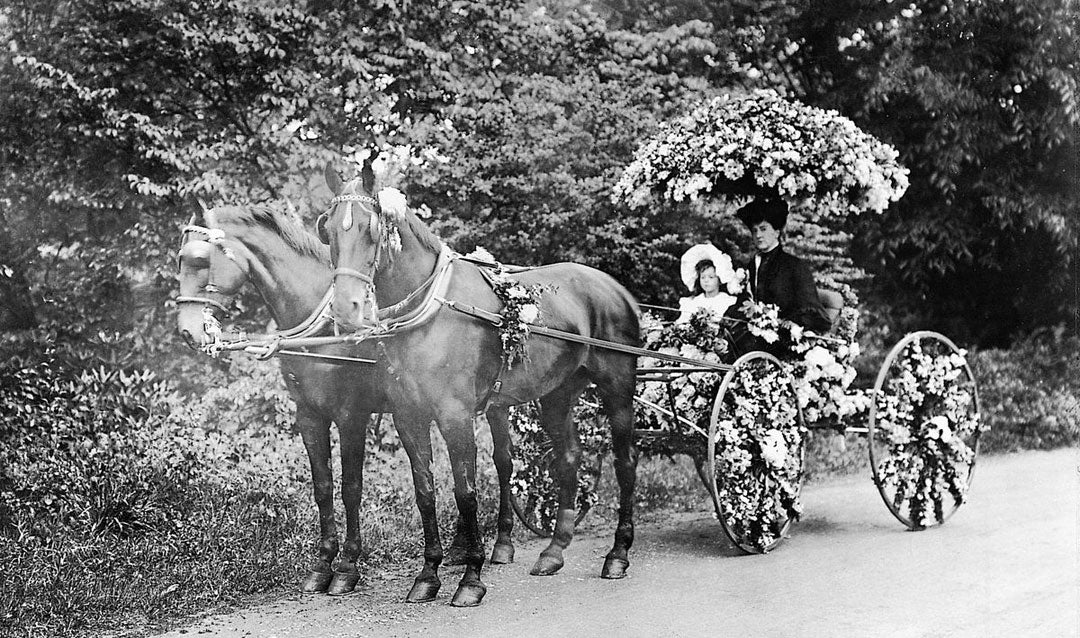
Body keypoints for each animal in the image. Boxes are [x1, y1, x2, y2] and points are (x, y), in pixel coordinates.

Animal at [317, 161, 639, 604]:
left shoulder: (456, 417)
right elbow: (425, 492)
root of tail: (617, 289)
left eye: (372, 228)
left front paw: (471, 577)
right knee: (569, 459)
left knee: (626, 462)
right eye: (329, 229)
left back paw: (618, 554)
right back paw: (554, 551)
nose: (346, 311)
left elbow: (465, 494)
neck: (431, 311)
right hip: (557, 393)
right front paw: (428, 574)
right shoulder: (409, 416)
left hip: (617, 389)